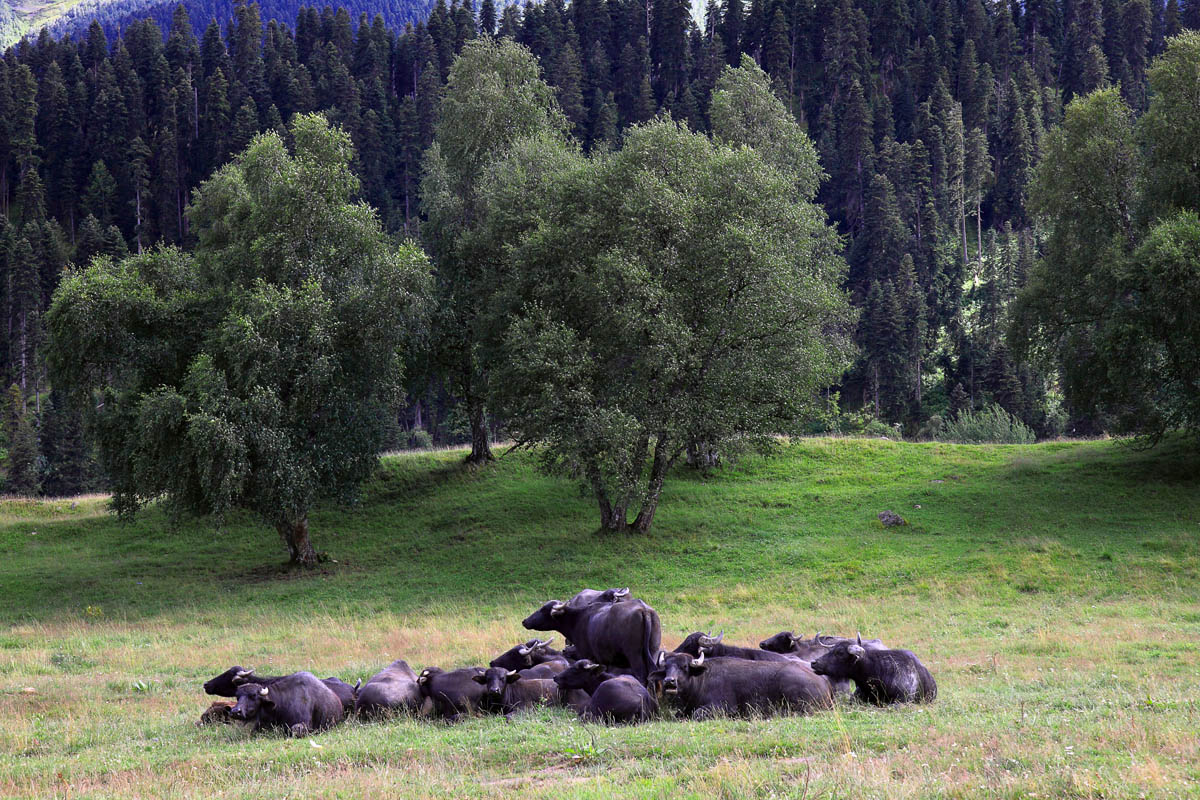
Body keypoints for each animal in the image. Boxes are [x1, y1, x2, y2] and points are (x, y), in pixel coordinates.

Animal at [523, 594, 662, 681]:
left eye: (543, 610)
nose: (525, 621)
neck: (577, 619)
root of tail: (644, 610)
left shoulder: (588, 655)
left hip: (634, 655)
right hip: (653, 652)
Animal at [648, 652, 835, 719]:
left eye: (685, 667)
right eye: (666, 667)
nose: (669, 681)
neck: (701, 681)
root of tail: (824, 683)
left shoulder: (722, 707)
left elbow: (697, 714)